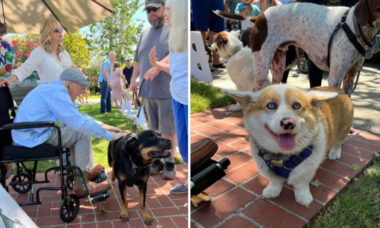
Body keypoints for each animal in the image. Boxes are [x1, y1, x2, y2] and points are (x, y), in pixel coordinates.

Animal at [215, 0, 380, 93]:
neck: (354, 26)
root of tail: (260, 16)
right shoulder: (335, 77)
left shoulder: (350, 77)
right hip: (262, 65)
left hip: (279, 66)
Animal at [223, 84, 354, 206]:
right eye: (271, 105)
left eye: (297, 105)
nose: (288, 123)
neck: (280, 155)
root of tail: (339, 90)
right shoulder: (266, 167)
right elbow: (275, 181)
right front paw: (272, 191)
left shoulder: (307, 168)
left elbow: (301, 184)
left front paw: (303, 198)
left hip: (343, 127)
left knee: (339, 140)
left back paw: (334, 152)